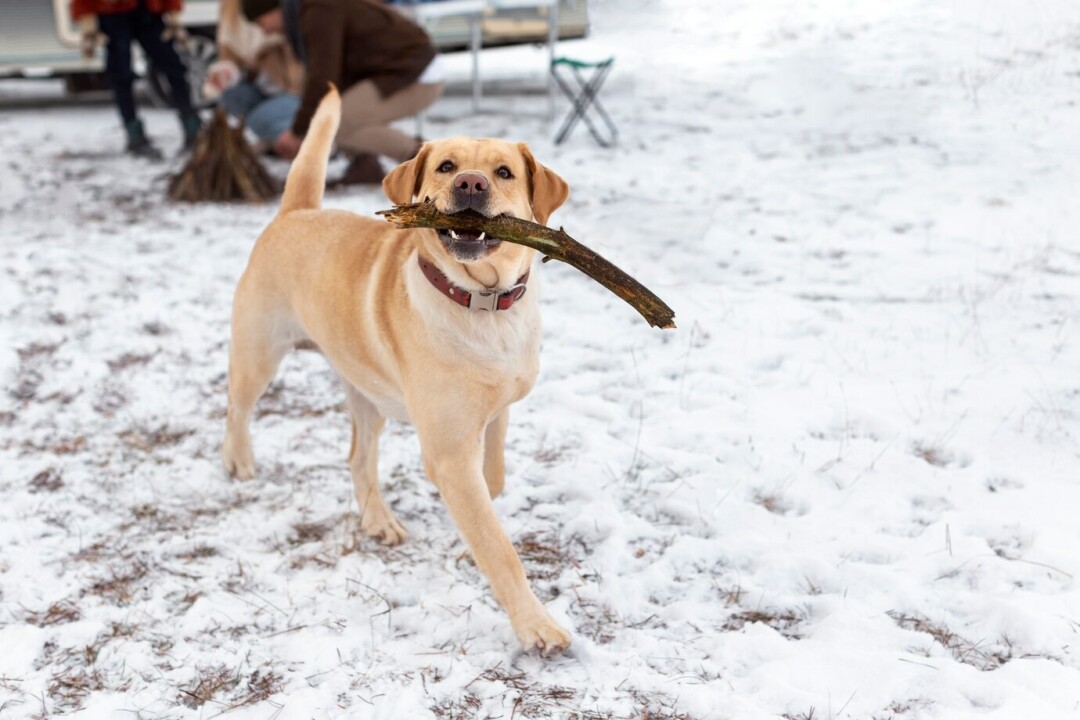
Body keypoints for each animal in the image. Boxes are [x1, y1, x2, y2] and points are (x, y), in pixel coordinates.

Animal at [220, 87, 574, 656]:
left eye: (503, 172)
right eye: (446, 165)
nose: (470, 183)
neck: (481, 303)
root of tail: (297, 212)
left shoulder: (495, 415)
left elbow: (493, 484)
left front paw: (465, 546)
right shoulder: (448, 452)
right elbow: (499, 547)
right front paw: (534, 624)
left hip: (368, 394)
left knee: (357, 457)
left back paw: (378, 520)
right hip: (259, 353)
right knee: (235, 406)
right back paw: (239, 460)